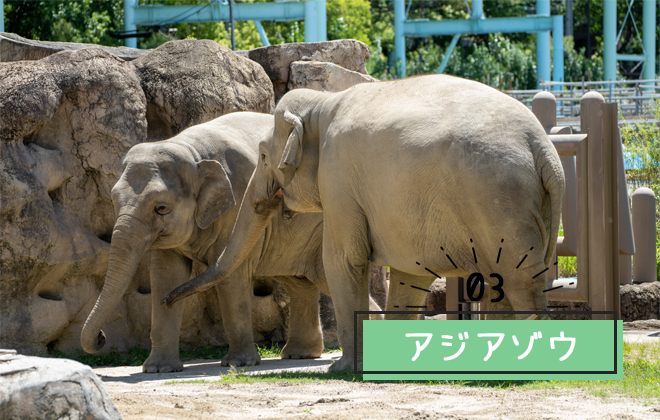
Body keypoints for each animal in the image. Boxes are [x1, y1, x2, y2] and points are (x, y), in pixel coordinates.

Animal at [162, 74, 564, 370]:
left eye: (261, 155)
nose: (166, 298)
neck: (323, 103)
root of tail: (544, 147)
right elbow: (408, 272)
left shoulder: (338, 177)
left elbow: (342, 260)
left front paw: (342, 370)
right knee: (505, 282)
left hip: (498, 200)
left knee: (519, 280)